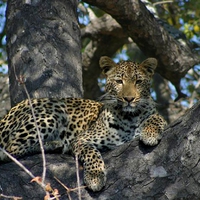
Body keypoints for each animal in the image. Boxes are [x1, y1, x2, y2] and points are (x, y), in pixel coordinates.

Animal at [0, 56, 167, 192]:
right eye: (119, 81)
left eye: (138, 82)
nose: (129, 99)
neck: (130, 117)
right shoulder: (80, 140)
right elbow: (92, 153)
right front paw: (95, 177)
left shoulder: (155, 116)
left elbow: (157, 117)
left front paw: (150, 133)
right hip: (53, 112)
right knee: (10, 150)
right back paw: (55, 144)